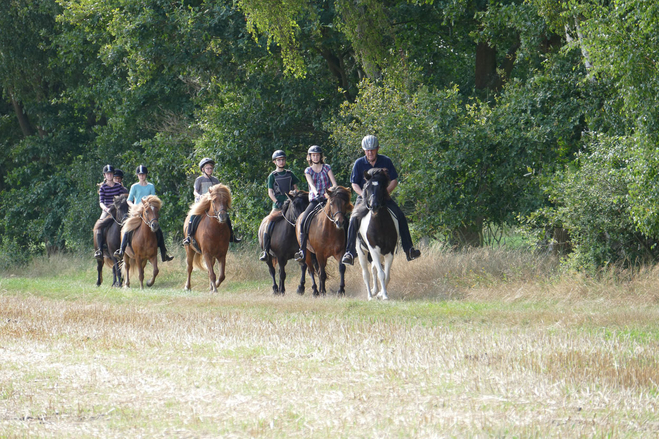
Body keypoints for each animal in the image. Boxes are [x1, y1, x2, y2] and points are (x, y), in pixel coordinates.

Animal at [358, 167, 400, 300]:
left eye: (382, 187)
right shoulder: (374, 250)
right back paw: (370, 295)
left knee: (374, 269)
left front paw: (382, 293)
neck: (380, 224)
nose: (374, 205)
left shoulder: (389, 251)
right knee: (366, 273)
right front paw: (384, 295)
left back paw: (376, 291)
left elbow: (386, 274)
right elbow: (381, 273)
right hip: (361, 252)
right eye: (367, 187)